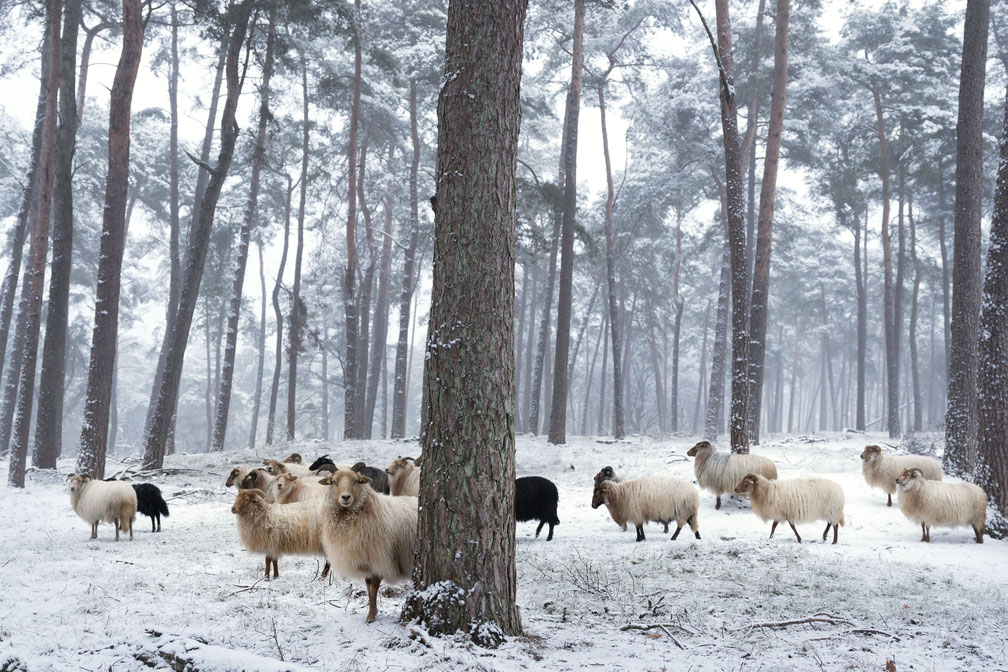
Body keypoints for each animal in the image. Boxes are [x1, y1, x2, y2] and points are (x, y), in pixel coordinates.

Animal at [320, 471, 419, 624]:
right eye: (334, 482)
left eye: (356, 481)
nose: (346, 497)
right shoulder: (365, 561)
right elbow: (368, 587)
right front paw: (373, 611)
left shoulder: (378, 559)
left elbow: (373, 588)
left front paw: (371, 616)